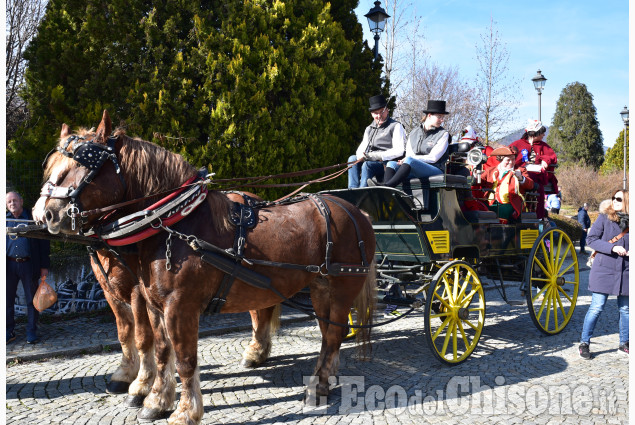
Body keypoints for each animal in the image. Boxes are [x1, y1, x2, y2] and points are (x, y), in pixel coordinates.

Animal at [38, 111, 378, 422]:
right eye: (53, 165)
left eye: (86, 164)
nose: (47, 214)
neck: (174, 221)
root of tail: (354, 210)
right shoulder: (153, 304)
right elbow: (160, 351)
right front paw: (156, 400)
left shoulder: (180, 306)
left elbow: (185, 359)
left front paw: (185, 411)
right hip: (318, 288)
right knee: (326, 331)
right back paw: (325, 375)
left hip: (338, 289)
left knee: (332, 336)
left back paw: (317, 386)